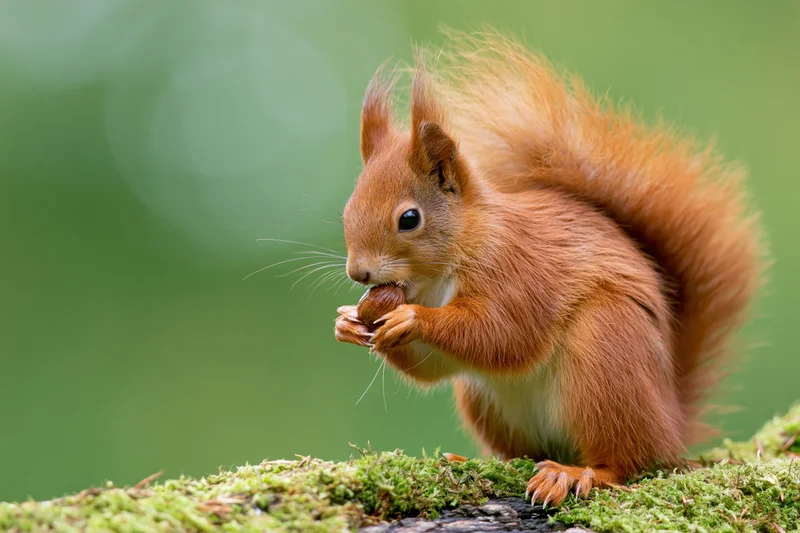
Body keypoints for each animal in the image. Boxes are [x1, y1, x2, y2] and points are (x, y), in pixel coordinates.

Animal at [334, 31, 766, 507]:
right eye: (347, 211)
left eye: (409, 219)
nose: (359, 274)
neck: (441, 272)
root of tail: (671, 422)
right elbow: (434, 367)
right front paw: (348, 323)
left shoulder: (520, 272)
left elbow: (504, 334)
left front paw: (411, 318)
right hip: (488, 402)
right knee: (527, 448)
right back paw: (477, 460)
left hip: (607, 358)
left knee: (624, 462)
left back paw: (573, 474)